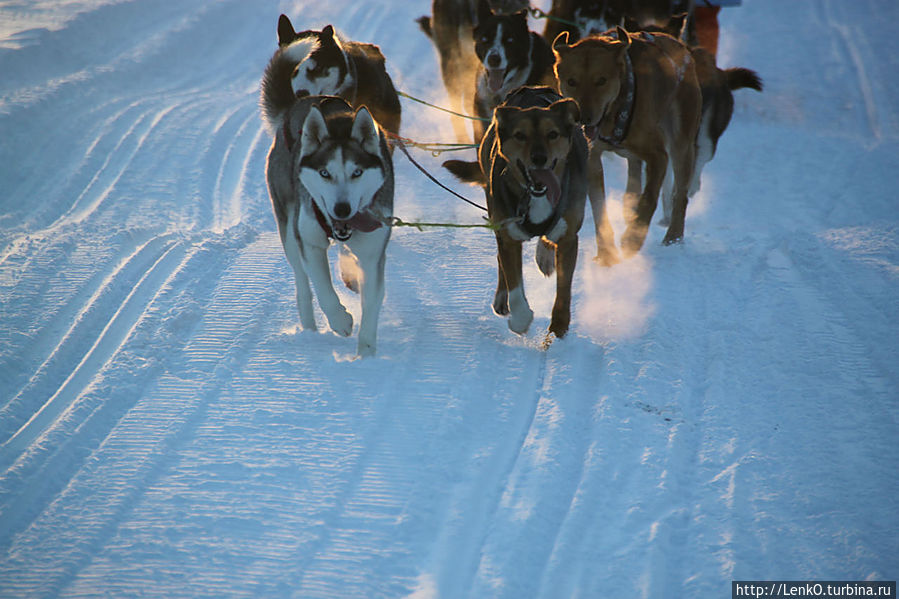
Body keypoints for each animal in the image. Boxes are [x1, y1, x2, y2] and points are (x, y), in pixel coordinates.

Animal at [444, 88, 588, 342]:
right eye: (520, 135)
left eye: (552, 134)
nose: (539, 158)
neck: (536, 196)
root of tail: (533, 89)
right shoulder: (508, 234)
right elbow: (515, 286)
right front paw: (520, 319)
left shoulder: (569, 238)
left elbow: (563, 289)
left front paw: (559, 328)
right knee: (501, 262)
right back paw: (501, 298)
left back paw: (544, 255)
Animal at [556, 26, 704, 255]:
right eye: (572, 82)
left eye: (601, 80)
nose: (583, 117)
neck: (615, 114)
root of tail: (680, 46)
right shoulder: (592, 159)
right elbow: (599, 207)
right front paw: (606, 253)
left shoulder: (658, 156)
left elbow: (649, 197)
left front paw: (633, 238)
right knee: (633, 179)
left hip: (681, 144)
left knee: (680, 194)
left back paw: (673, 236)